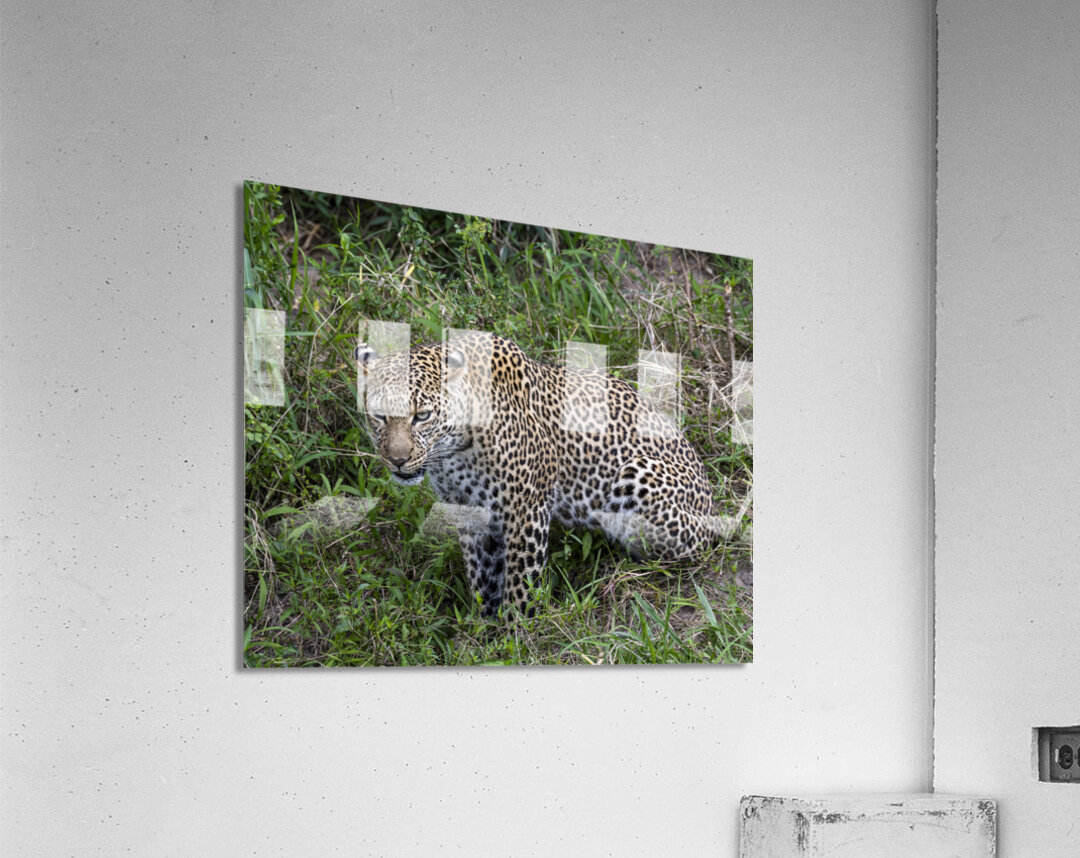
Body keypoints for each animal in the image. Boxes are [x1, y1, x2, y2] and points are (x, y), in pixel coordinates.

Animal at [355, 331, 729, 616]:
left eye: (422, 415)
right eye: (378, 415)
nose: (397, 460)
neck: (454, 452)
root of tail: (712, 506)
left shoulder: (527, 507)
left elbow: (520, 581)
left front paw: (514, 633)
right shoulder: (469, 511)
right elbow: (481, 577)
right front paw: (481, 629)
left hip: (637, 474)